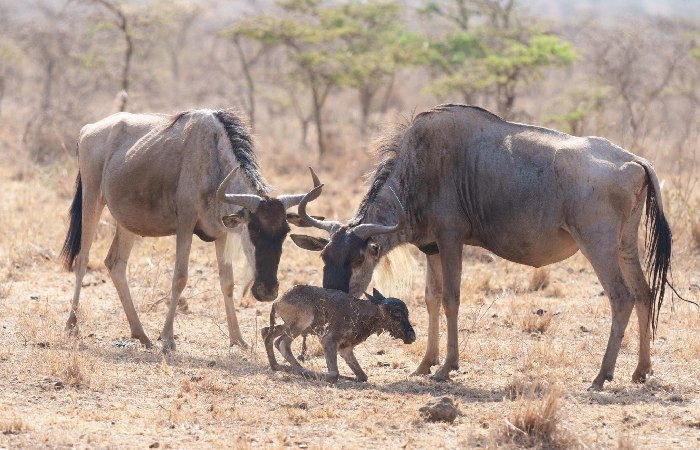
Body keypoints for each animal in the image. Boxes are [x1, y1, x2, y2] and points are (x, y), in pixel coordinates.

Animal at [262, 286, 416, 382]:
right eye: (396, 313)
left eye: (407, 312)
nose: (412, 336)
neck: (361, 313)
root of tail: (277, 302)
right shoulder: (328, 340)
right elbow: (334, 374)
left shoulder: (345, 348)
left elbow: (363, 376)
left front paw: (352, 377)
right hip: (300, 325)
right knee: (281, 343)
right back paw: (293, 368)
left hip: (290, 326)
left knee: (267, 333)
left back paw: (277, 366)